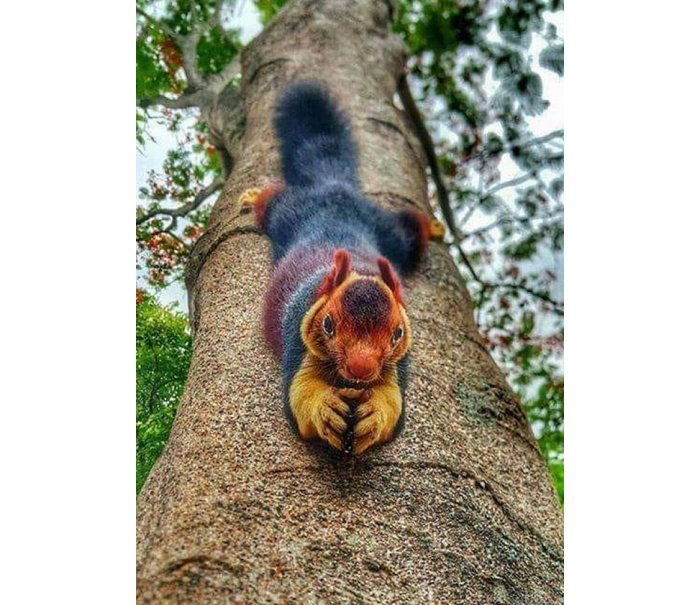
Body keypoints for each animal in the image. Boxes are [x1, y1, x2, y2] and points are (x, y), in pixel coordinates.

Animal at [246, 82, 443, 455]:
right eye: (328, 324)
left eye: (397, 332)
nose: (361, 368)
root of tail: (335, 189)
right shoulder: (298, 331)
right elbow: (299, 394)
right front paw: (325, 410)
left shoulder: (400, 363)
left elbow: (394, 403)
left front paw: (374, 414)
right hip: (290, 212)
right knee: (274, 201)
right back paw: (254, 197)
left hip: (390, 232)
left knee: (409, 228)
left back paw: (434, 226)